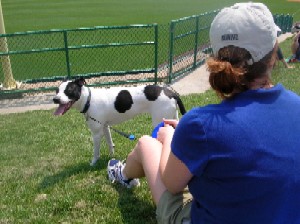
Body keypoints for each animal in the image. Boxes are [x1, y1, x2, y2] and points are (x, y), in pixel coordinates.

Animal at [53, 78, 185, 165]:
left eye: (69, 90)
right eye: (56, 90)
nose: (55, 99)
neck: (88, 99)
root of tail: (172, 93)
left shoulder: (96, 133)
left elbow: (96, 151)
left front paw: (93, 163)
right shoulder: (105, 127)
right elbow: (110, 142)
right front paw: (111, 156)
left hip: (159, 122)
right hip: (173, 119)